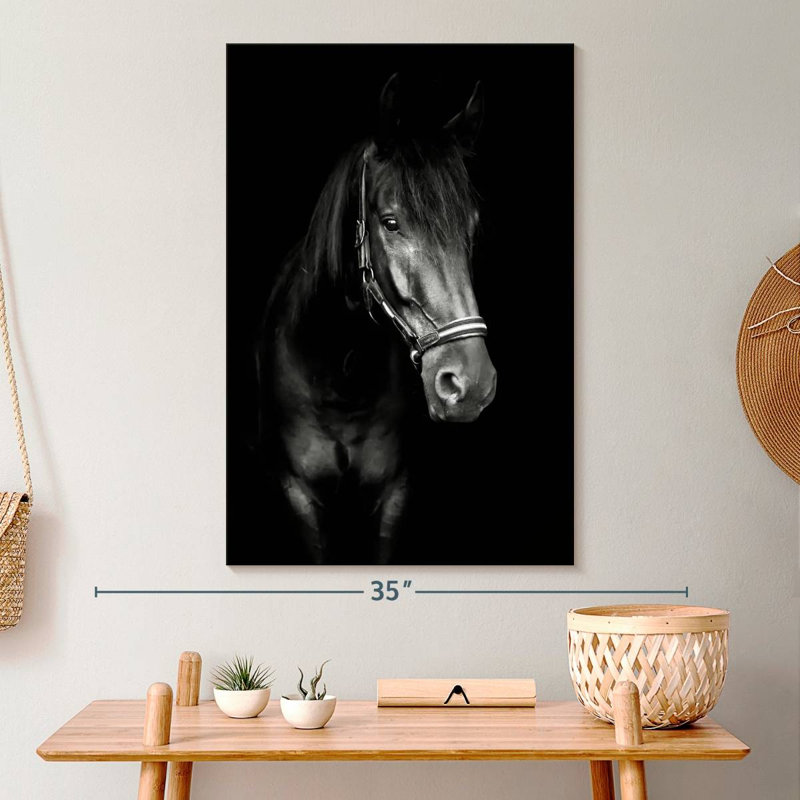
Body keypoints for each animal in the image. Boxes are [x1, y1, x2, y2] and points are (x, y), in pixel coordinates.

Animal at [257, 74, 497, 564]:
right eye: (390, 222)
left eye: (472, 227)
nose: (471, 384)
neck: (341, 369)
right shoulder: (299, 494)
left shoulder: (394, 494)